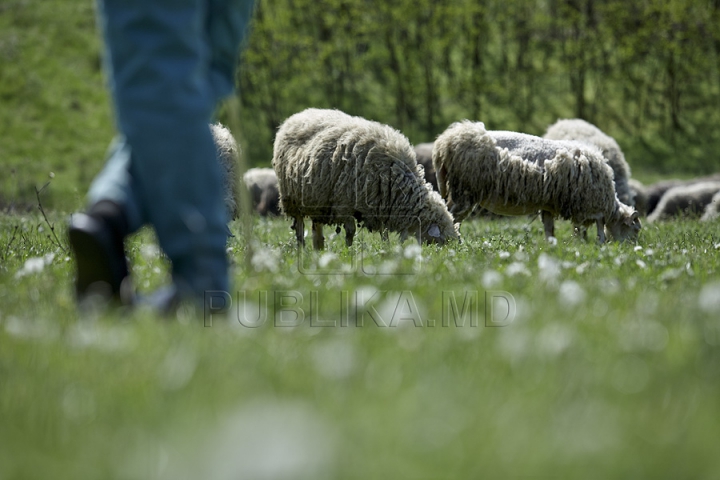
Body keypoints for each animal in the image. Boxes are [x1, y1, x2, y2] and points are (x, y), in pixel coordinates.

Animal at [270, 107, 462, 249]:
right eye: (442, 241)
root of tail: (295, 116)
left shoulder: (381, 206)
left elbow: (384, 234)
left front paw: (386, 250)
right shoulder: (345, 203)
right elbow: (350, 232)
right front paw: (348, 251)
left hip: (317, 200)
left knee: (316, 229)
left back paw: (319, 250)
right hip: (292, 199)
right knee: (299, 228)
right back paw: (302, 249)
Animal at [434, 122, 640, 244]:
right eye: (635, 230)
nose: (631, 250)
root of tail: (446, 141)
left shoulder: (549, 205)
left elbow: (550, 229)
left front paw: (553, 247)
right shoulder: (588, 205)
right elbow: (595, 230)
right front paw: (596, 244)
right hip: (465, 190)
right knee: (450, 215)